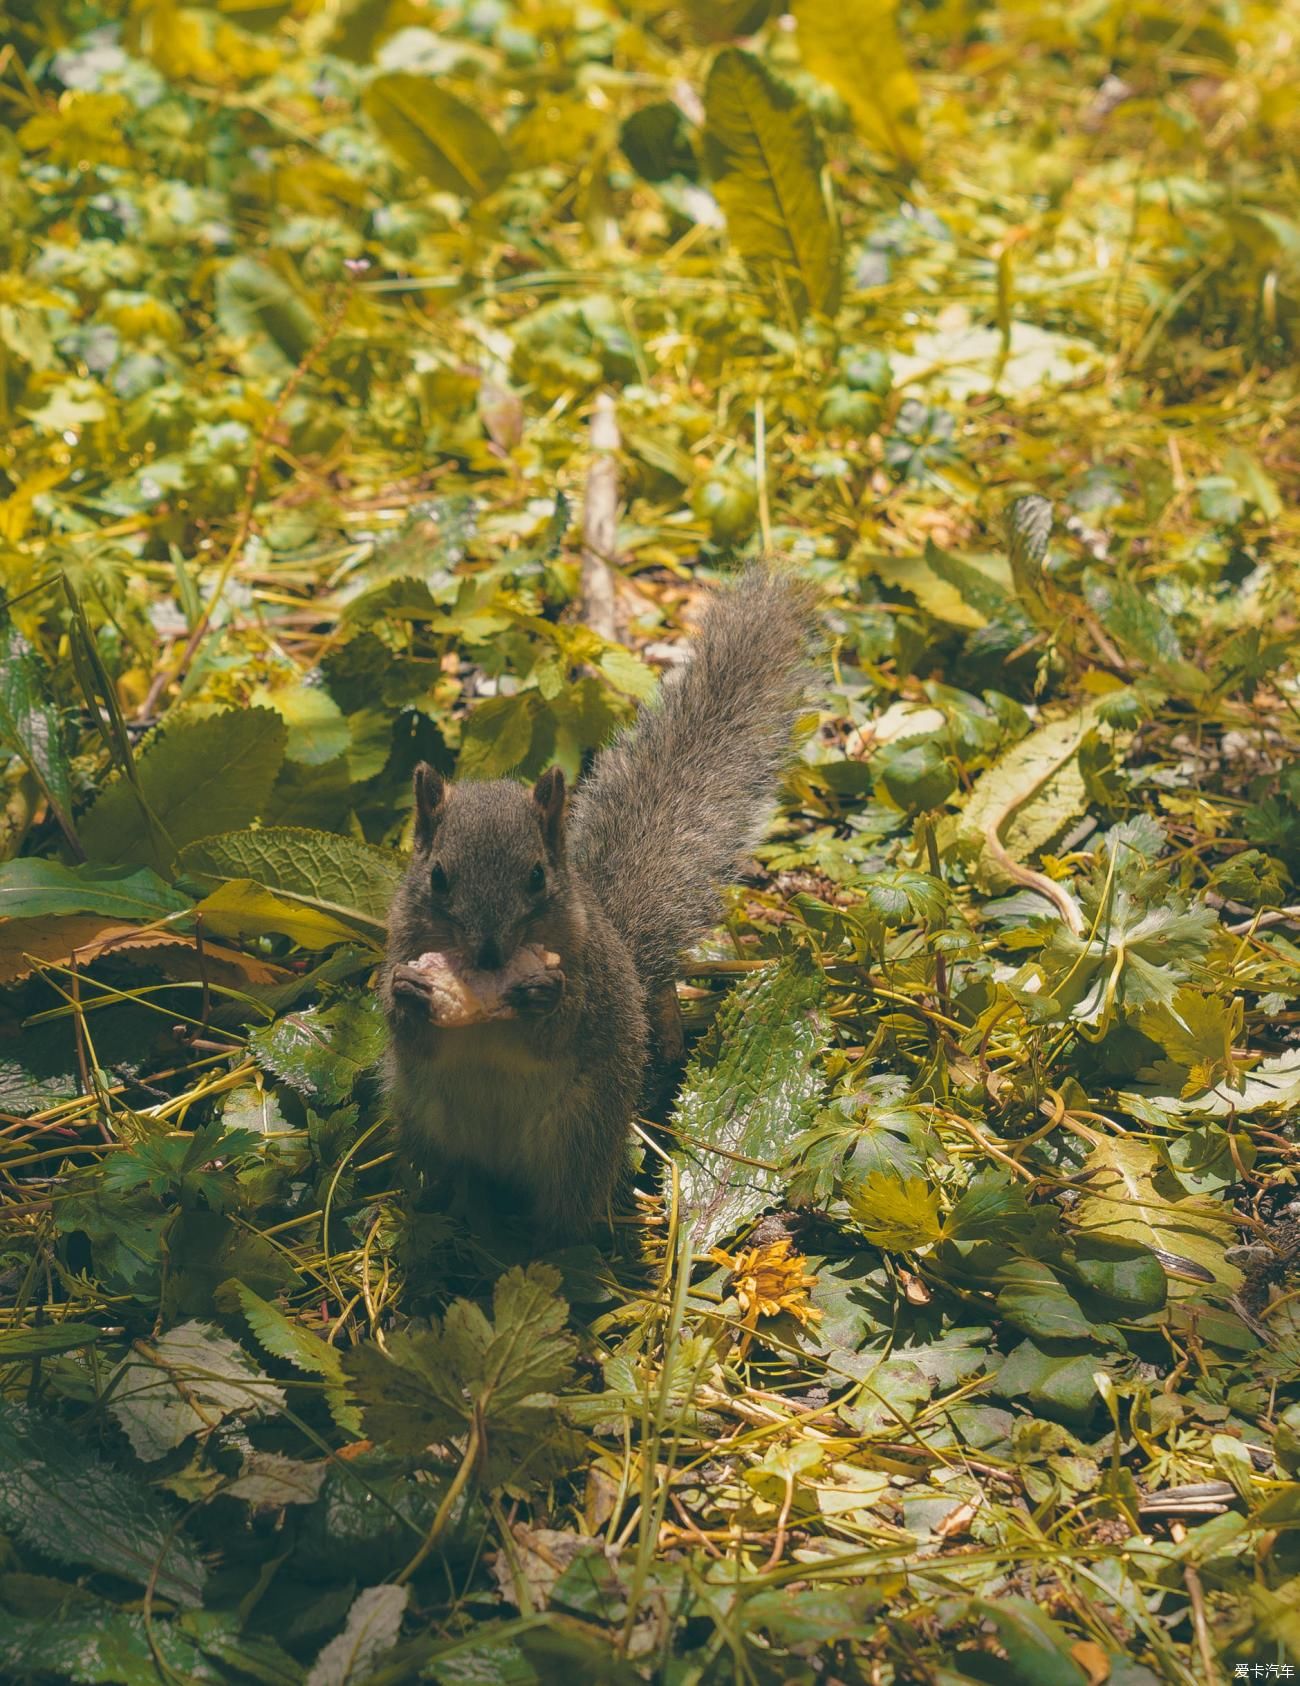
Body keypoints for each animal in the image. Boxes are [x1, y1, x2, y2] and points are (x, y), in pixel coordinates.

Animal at [376, 566, 819, 1240]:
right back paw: (452, 1217)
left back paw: (545, 1244)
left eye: (538, 876)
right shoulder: (400, 942)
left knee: (566, 1212)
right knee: (454, 1181)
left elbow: (562, 1026)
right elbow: (406, 1030)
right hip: (427, 1128)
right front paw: (408, 992)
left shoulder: (587, 971)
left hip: (577, 1138)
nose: (489, 956)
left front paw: (543, 994)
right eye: (438, 877)